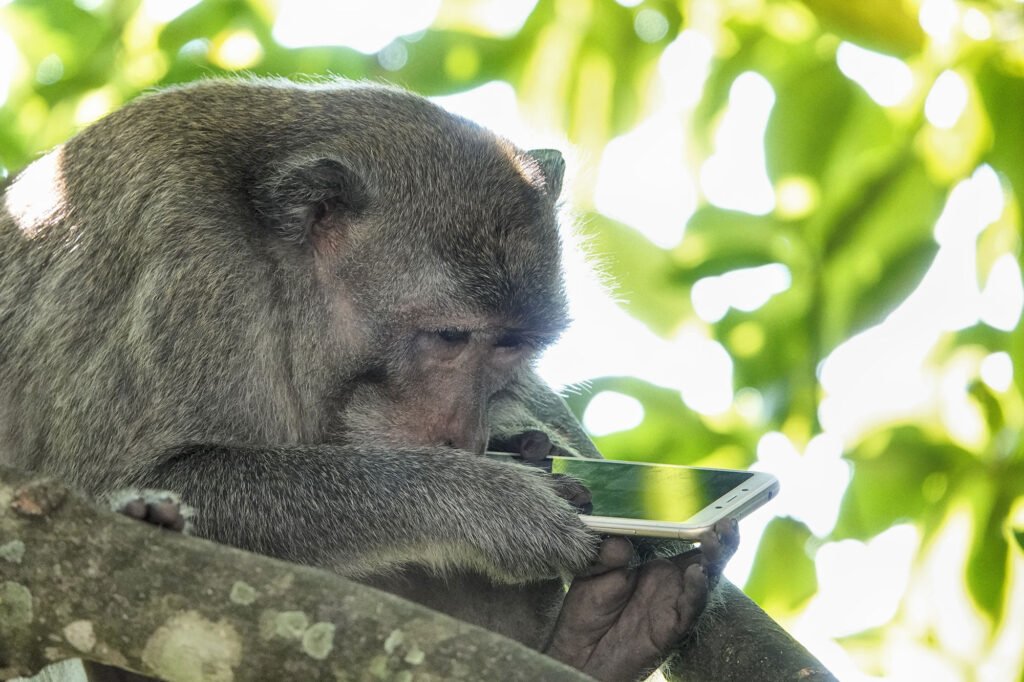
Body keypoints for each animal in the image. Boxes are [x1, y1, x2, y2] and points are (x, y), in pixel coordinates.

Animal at [0, 78, 732, 681]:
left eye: (511, 346)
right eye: (450, 337)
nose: (462, 436)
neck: (273, 263)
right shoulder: (187, 266)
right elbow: (120, 475)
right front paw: (491, 502)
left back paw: (599, 643)